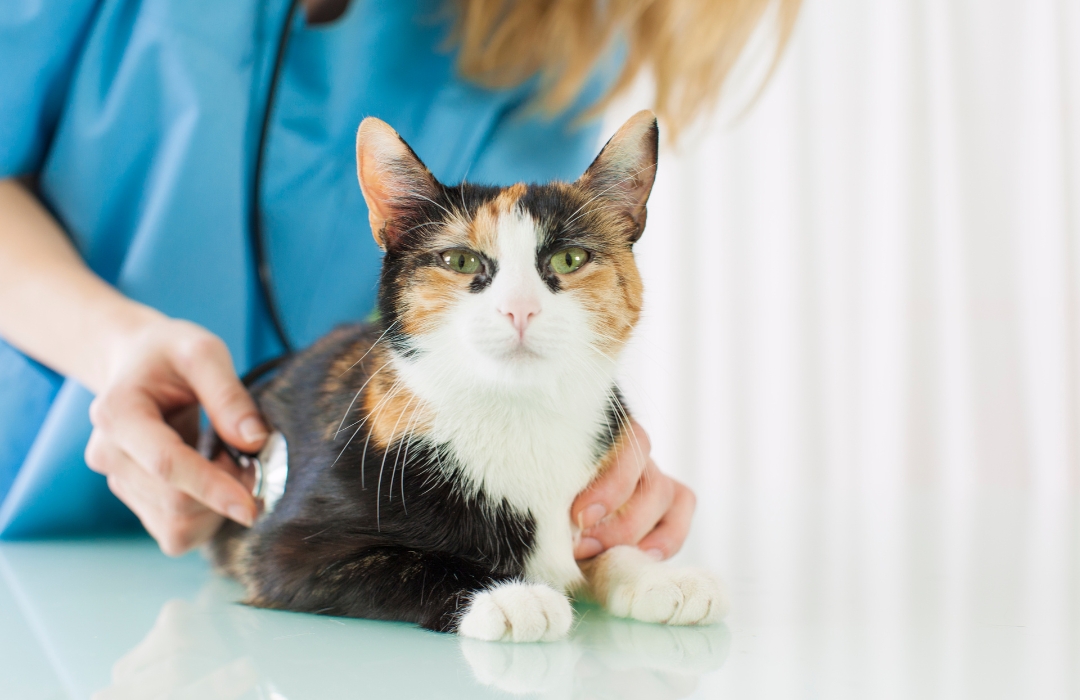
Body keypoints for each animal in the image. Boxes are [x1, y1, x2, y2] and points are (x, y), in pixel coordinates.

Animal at [209, 110, 725, 639]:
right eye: (459, 260)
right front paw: (509, 595)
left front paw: (655, 575)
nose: (519, 309)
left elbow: (606, 545)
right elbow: (412, 562)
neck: (518, 416)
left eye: (569, 259)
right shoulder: (283, 550)